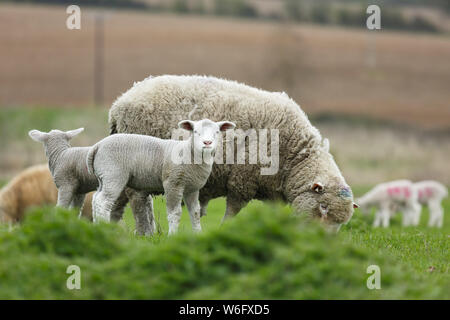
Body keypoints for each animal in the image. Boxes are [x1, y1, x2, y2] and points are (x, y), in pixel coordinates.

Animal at [87, 119, 236, 234]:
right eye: (195, 131)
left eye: (217, 132)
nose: (207, 143)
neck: (188, 152)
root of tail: (97, 146)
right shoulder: (173, 183)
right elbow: (175, 213)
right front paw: (173, 236)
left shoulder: (192, 189)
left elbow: (195, 213)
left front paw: (198, 234)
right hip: (113, 175)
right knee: (103, 201)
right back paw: (103, 228)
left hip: (103, 177)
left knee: (95, 199)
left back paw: (97, 227)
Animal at [109, 74, 358, 231]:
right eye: (323, 208)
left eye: (341, 223)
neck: (293, 156)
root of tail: (119, 103)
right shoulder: (242, 181)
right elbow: (231, 213)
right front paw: (223, 231)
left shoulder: (272, 193)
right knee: (138, 201)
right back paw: (145, 233)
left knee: (118, 198)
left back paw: (113, 230)